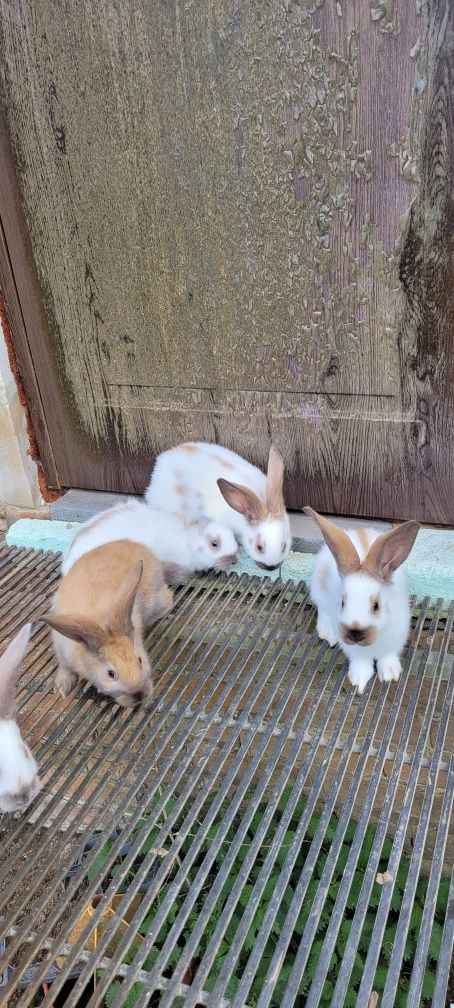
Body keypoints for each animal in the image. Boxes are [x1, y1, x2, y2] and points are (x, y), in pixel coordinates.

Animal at [43, 540, 173, 705]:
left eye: (140, 660)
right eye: (110, 674)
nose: (139, 697)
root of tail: (135, 544)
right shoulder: (61, 648)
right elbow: (65, 668)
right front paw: (62, 688)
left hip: (154, 601)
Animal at [306, 508, 419, 697]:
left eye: (376, 606)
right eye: (342, 602)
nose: (355, 634)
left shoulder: (394, 641)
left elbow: (387, 657)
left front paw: (390, 675)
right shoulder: (356, 651)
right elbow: (362, 663)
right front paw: (358, 681)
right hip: (319, 590)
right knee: (322, 609)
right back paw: (327, 633)